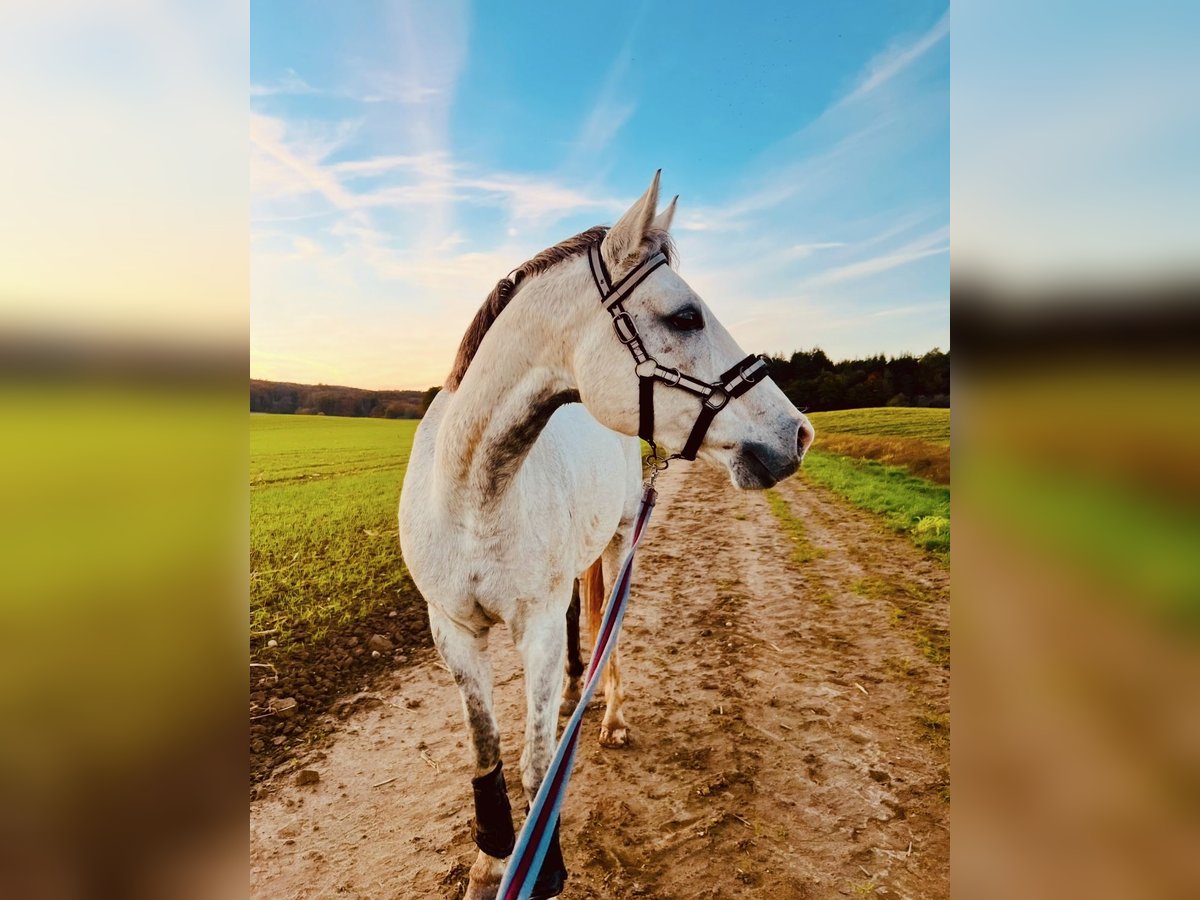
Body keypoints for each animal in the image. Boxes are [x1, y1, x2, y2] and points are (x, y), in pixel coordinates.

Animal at [398, 172, 811, 897]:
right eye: (685, 316)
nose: (798, 434)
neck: (471, 496)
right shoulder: (452, 629)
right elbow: (485, 753)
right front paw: (491, 857)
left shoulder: (531, 628)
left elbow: (538, 767)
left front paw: (541, 866)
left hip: (621, 540)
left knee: (607, 633)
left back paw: (611, 716)